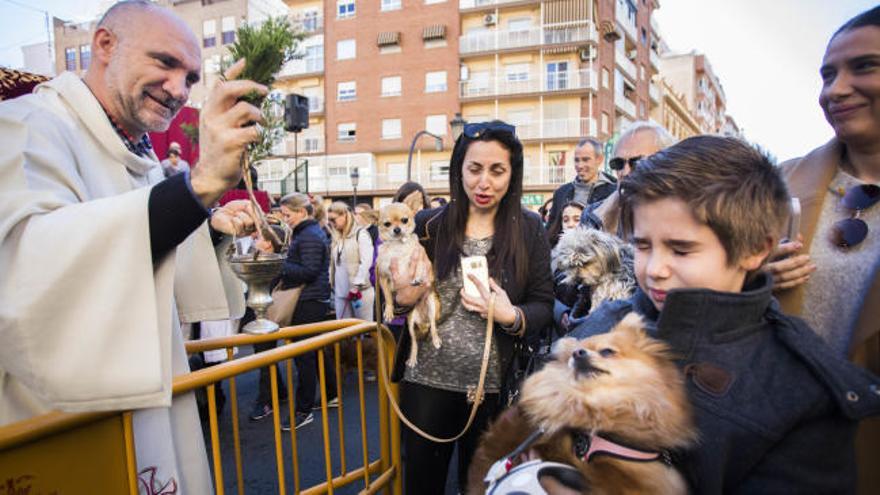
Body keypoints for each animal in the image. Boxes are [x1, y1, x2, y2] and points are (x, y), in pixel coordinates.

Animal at [374, 202, 440, 368]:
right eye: (387, 224)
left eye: (405, 220)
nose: (397, 229)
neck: (398, 248)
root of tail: (423, 320)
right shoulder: (382, 277)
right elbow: (388, 296)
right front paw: (389, 311)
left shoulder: (421, 258)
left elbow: (418, 268)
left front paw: (416, 277)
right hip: (410, 324)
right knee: (415, 342)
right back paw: (412, 358)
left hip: (432, 306)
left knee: (433, 326)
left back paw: (436, 339)